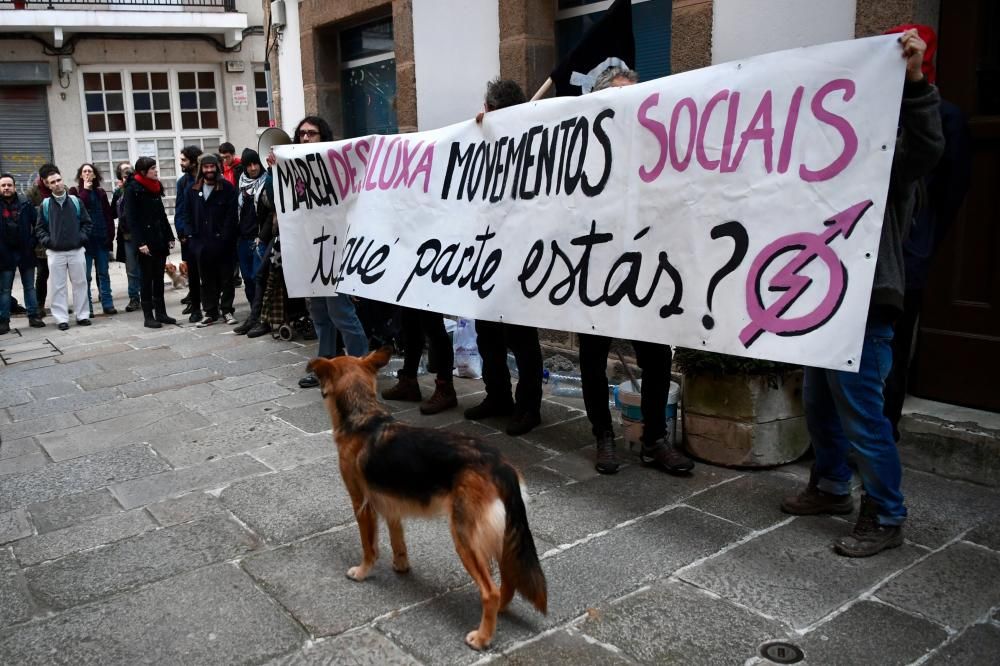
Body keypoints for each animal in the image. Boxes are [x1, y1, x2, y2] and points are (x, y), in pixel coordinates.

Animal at [310, 348, 552, 648]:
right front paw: (401, 566)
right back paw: (500, 613)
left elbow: (369, 546)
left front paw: (362, 571)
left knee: (491, 591)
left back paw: (482, 637)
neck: (365, 416)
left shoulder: (362, 504)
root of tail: (500, 465)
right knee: (508, 577)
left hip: (465, 536)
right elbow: (398, 541)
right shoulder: (392, 505)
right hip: (499, 531)